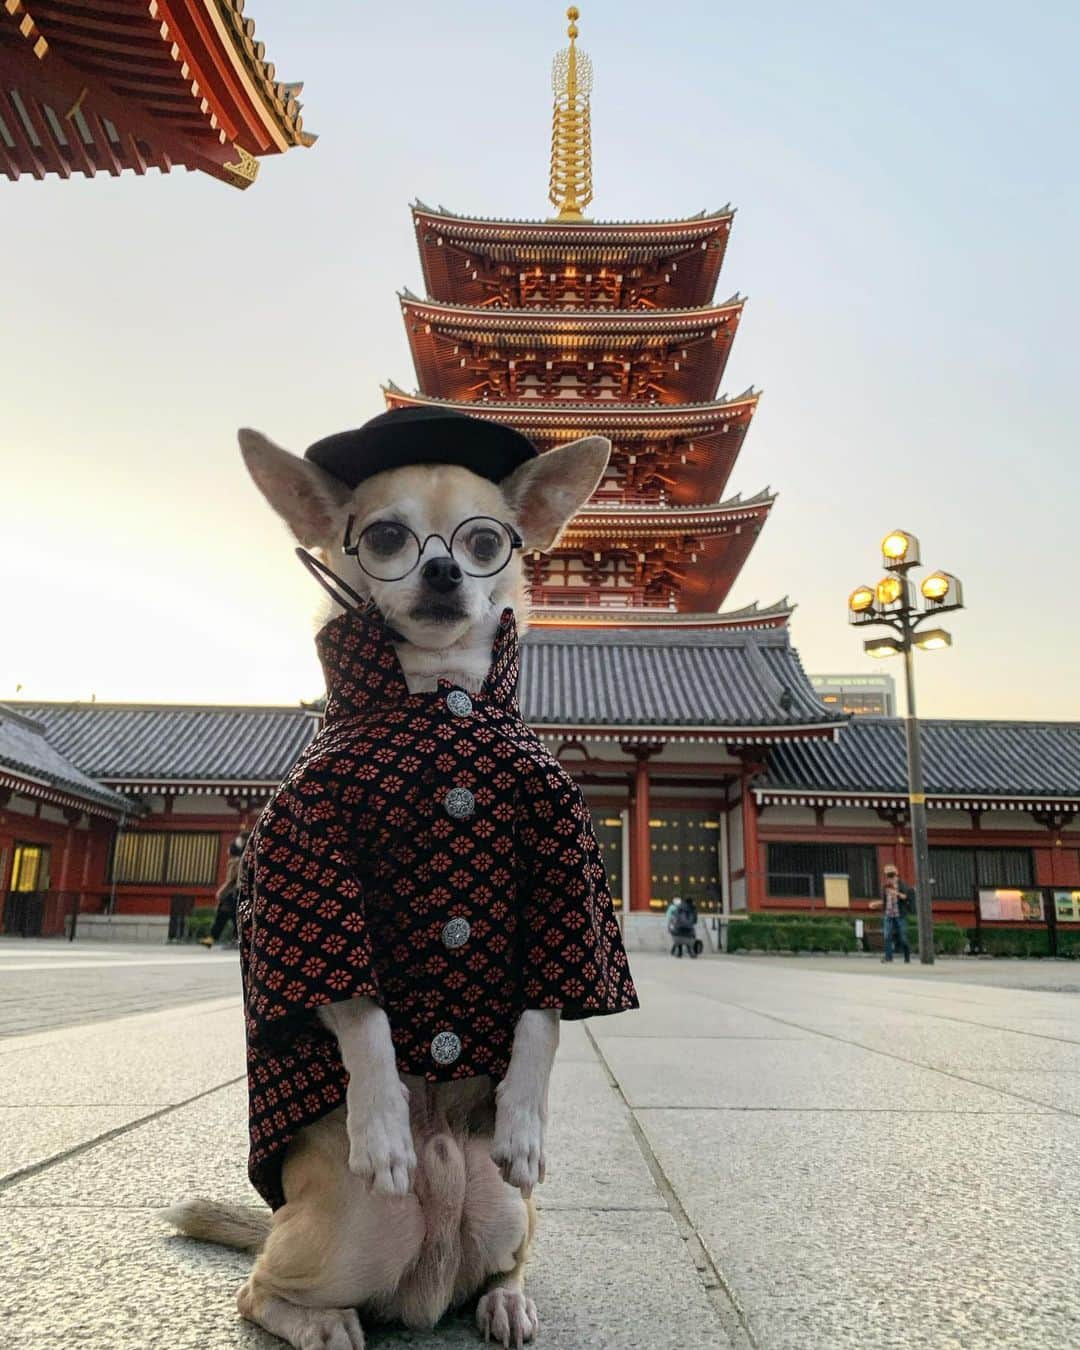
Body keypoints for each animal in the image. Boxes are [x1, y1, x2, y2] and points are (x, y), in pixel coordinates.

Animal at [164, 423, 612, 1350]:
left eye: (483, 542)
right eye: (385, 537)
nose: (442, 570)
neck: (438, 699)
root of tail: (425, 1285)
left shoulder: (562, 873)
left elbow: (545, 1015)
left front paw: (524, 1114)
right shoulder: (314, 877)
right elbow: (363, 1013)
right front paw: (379, 1120)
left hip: (508, 1209)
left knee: (505, 1263)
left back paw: (504, 1302)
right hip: (346, 1230)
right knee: (256, 1289)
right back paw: (323, 1322)